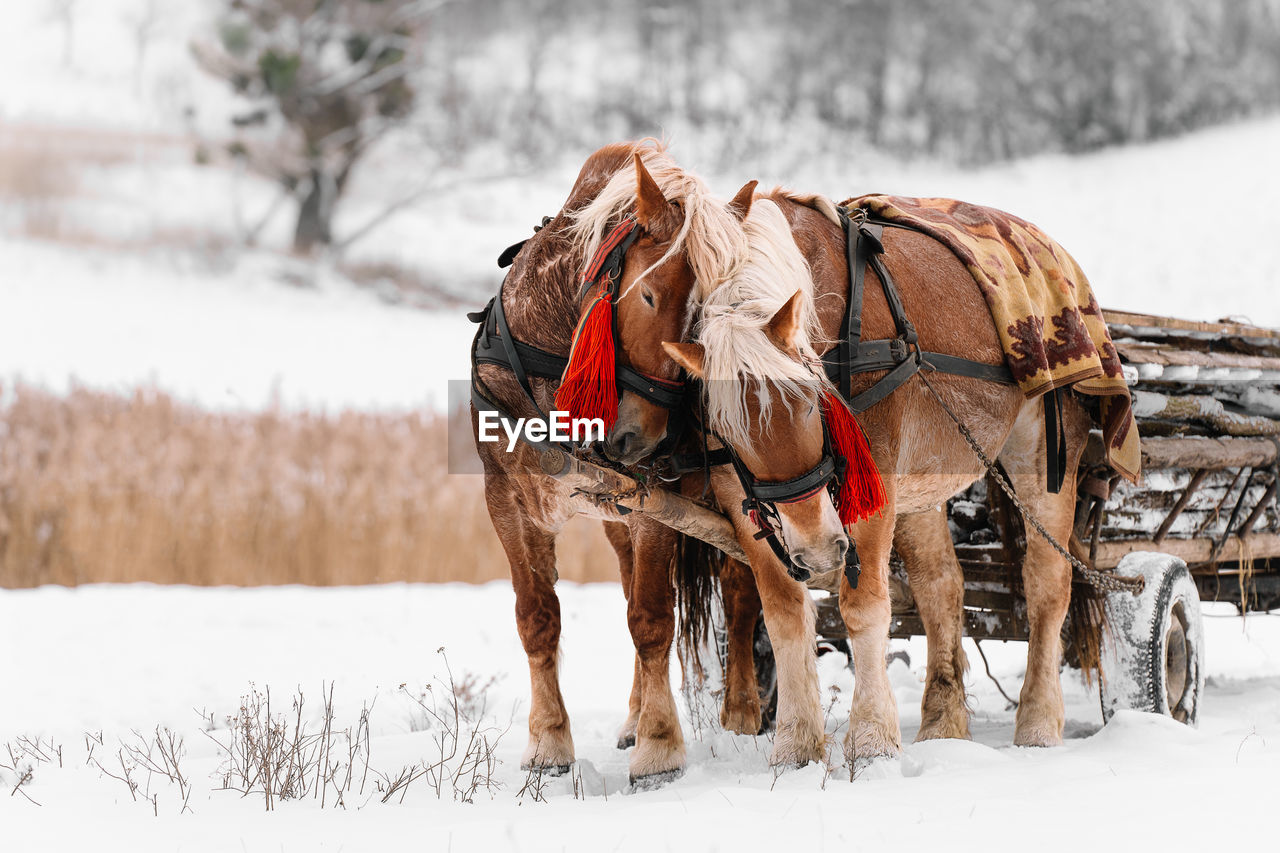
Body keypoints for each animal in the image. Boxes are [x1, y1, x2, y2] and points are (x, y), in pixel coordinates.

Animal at [473, 142, 757, 778]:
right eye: (648, 295)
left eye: (707, 314)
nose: (642, 437)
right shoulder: (506, 499)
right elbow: (538, 618)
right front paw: (548, 742)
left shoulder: (658, 503)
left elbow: (651, 619)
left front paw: (660, 748)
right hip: (616, 520)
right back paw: (634, 715)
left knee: (744, 591)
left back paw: (744, 714)